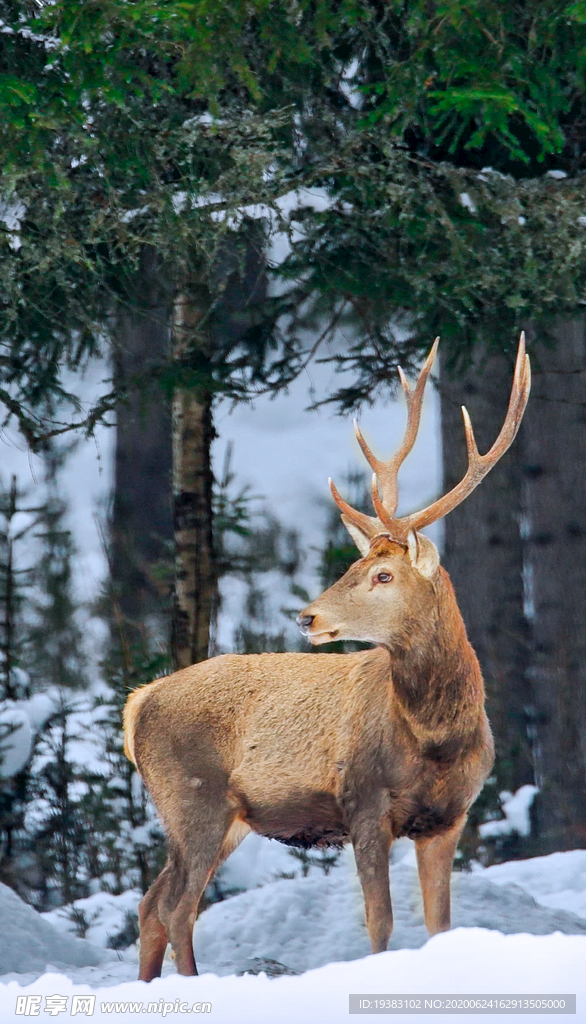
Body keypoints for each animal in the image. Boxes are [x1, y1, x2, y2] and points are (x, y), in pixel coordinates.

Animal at [124, 333, 532, 974]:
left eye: (384, 574)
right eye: (355, 564)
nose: (308, 615)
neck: (435, 740)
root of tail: (139, 701)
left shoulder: (449, 819)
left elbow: (440, 925)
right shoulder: (363, 803)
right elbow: (380, 923)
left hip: (219, 815)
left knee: (151, 903)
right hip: (192, 796)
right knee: (176, 906)